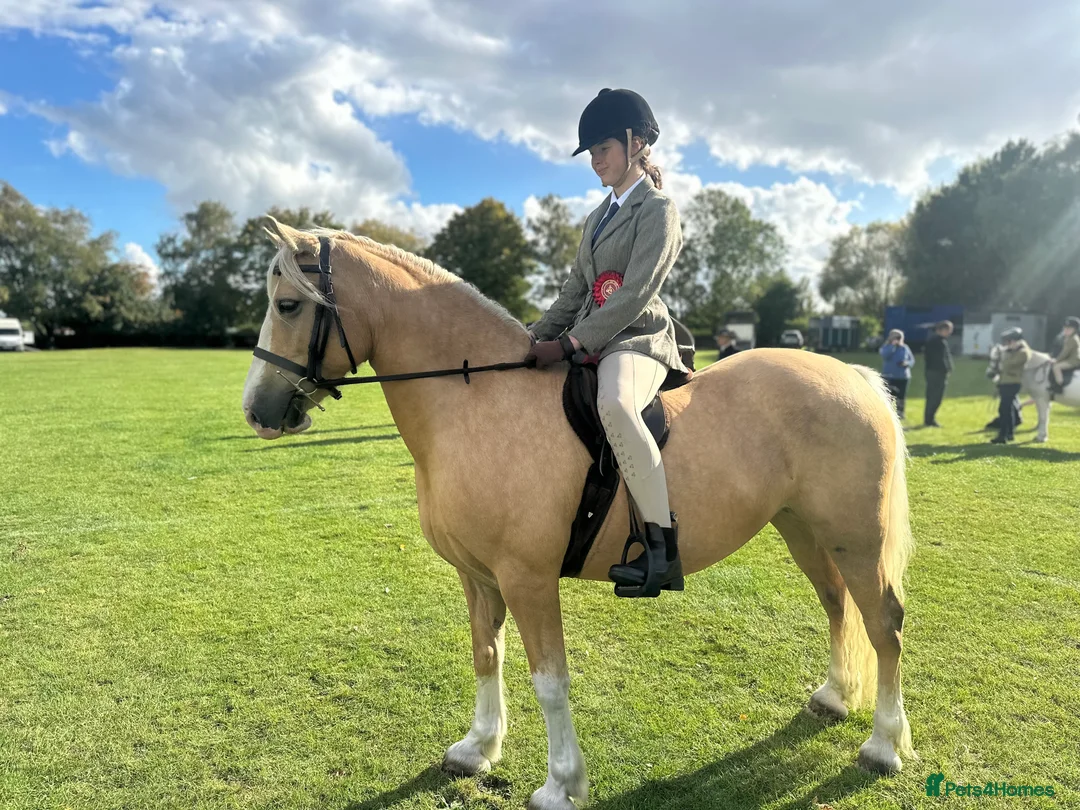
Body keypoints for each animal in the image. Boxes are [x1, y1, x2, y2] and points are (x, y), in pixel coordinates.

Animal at [241, 219, 916, 810]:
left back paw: (882, 746)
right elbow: (486, 654)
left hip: (856, 537)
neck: (477, 400)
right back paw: (834, 697)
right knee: (837, 603)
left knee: (883, 623)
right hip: (804, 529)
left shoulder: (528, 579)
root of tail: (852, 375)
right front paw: (477, 749)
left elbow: (550, 680)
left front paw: (560, 786)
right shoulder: (477, 575)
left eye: (289, 305)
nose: (257, 412)